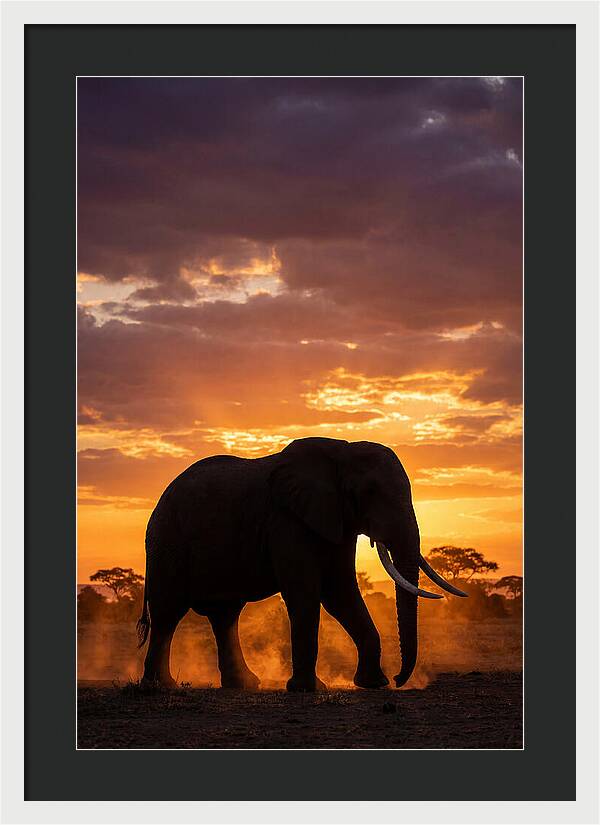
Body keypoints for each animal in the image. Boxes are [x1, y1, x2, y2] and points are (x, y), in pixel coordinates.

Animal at [137, 437, 467, 692]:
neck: (342, 450)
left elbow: (340, 592)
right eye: (369, 492)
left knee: (225, 615)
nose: (399, 679)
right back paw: (160, 686)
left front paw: (374, 684)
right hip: (167, 542)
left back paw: (244, 684)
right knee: (169, 613)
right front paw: (307, 689)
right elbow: (306, 593)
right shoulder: (286, 520)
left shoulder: (336, 519)